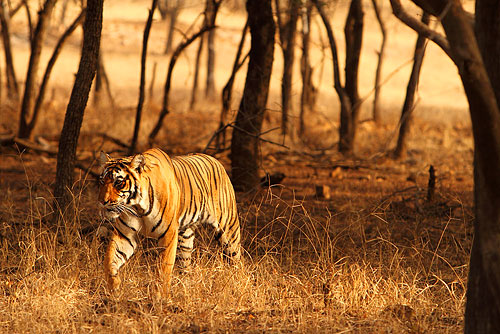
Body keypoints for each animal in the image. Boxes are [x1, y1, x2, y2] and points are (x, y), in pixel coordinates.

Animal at [98, 148, 242, 294]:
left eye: (118, 182)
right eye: (102, 181)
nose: (102, 202)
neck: (138, 207)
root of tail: (216, 160)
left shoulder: (168, 235)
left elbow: (164, 268)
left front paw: (159, 296)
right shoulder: (125, 235)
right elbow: (109, 260)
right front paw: (114, 287)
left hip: (228, 230)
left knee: (236, 260)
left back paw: (236, 285)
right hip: (185, 239)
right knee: (186, 266)